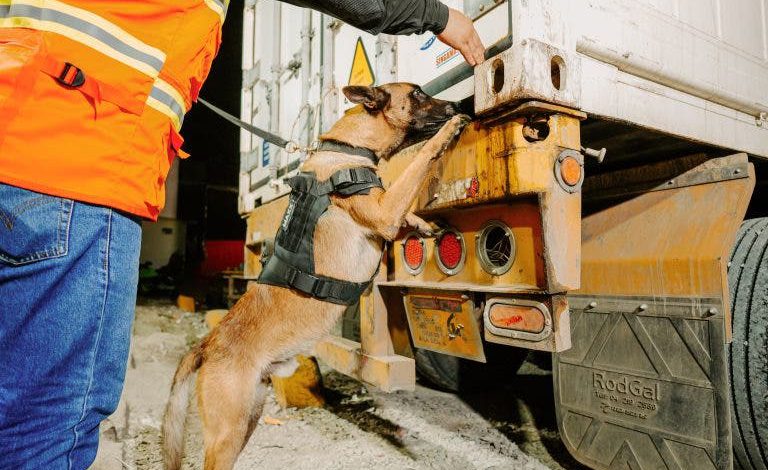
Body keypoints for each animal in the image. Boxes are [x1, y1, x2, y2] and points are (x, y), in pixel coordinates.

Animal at [162, 82, 468, 468]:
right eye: (417, 94)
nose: (456, 104)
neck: (347, 150)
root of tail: (207, 344)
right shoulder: (384, 212)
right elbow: (417, 163)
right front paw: (449, 130)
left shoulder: (386, 213)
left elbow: (405, 210)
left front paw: (423, 224)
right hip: (227, 433)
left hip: (248, 418)